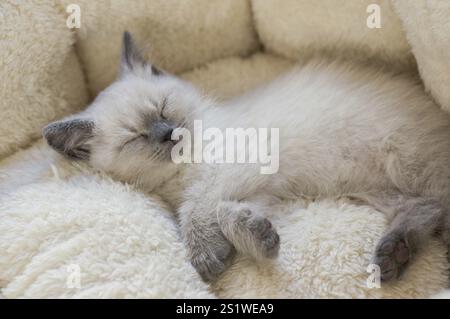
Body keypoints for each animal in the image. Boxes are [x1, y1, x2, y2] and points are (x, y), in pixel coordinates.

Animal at [43, 32, 450, 282]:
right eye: (135, 138)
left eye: (164, 108)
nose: (168, 133)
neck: (181, 171)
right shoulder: (256, 190)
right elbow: (224, 211)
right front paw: (257, 238)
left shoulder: (235, 167)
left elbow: (197, 209)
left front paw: (207, 257)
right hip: (377, 189)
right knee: (426, 208)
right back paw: (393, 255)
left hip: (409, 165)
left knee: (437, 204)